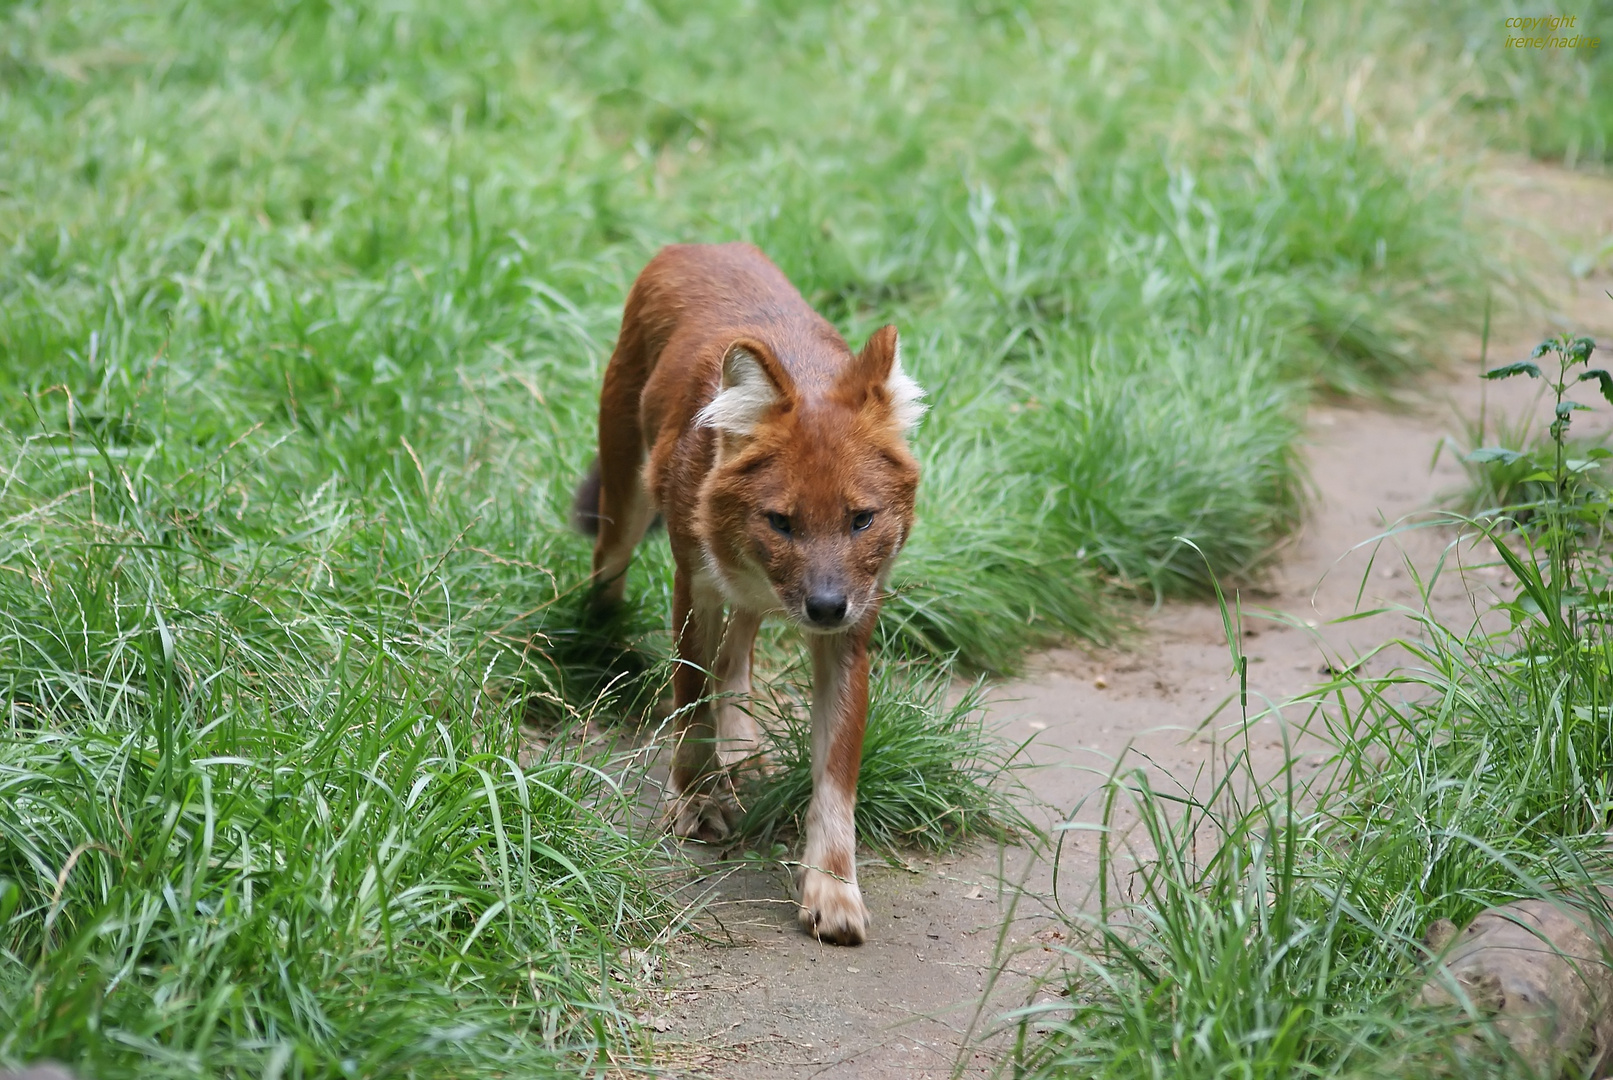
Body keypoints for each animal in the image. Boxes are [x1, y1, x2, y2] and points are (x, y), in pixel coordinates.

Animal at [574, 241, 922, 941]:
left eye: (861, 519)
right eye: (781, 521)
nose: (824, 607)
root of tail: (694, 244)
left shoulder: (853, 629)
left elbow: (836, 775)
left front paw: (833, 887)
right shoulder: (695, 585)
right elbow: (690, 707)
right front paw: (695, 801)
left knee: (740, 644)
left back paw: (740, 738)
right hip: (626, 502)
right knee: (609, 565)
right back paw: (601, 642)